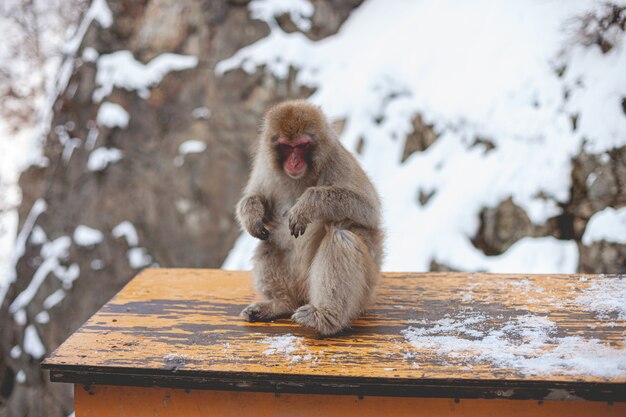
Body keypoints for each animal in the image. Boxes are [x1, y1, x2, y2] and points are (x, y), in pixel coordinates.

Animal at [234, 100, 380, 334]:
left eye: (301, 146)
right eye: (286, 146)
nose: (294, 162)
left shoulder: (338, 162)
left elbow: (369, 210)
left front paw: (307, 205)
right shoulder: (265, 167)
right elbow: (256, 196)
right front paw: (252, 212)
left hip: (365, 289)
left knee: (341, 236)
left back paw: (326, 316)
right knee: (267, 244)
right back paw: (281, 303)